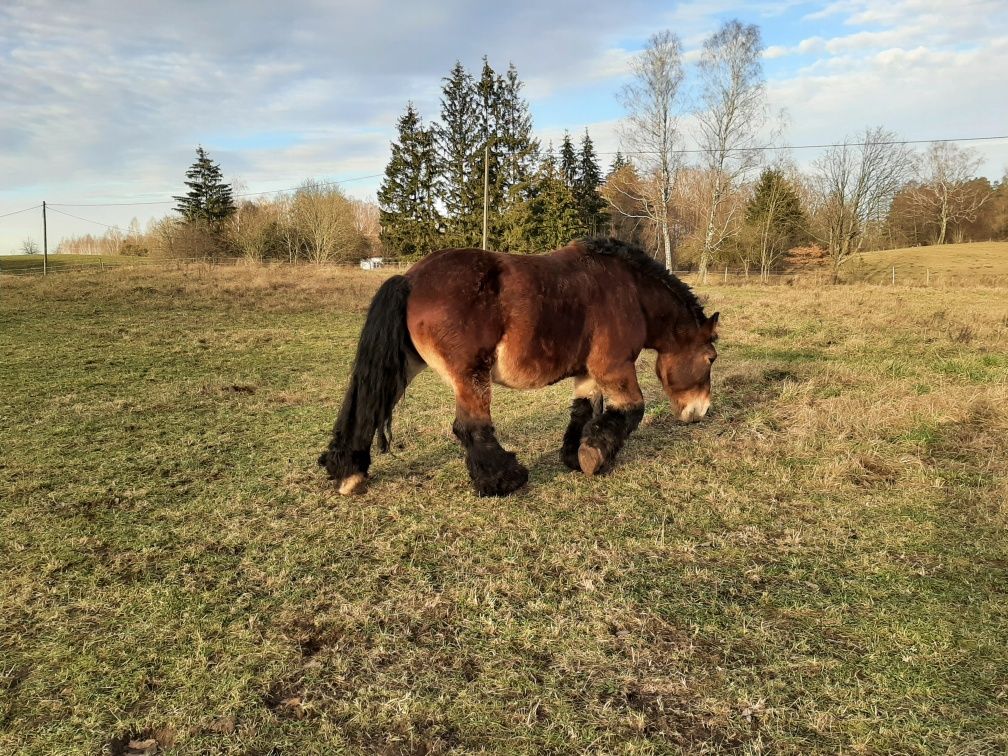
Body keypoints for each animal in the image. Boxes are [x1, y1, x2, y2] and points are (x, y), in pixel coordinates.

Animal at [316, 237, 717, 497]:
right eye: (711, 358)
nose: (701, 411)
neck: (629, 291)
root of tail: (411, 279)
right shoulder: (613, 368)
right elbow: (633, 409)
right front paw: (595, 456)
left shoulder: (587, 372)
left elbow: (583, 410)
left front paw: (575, 454)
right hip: (470, 377)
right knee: (471, 427)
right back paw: (504, 480)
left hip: (404, 366)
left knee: (368, 409)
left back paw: (349, 473)